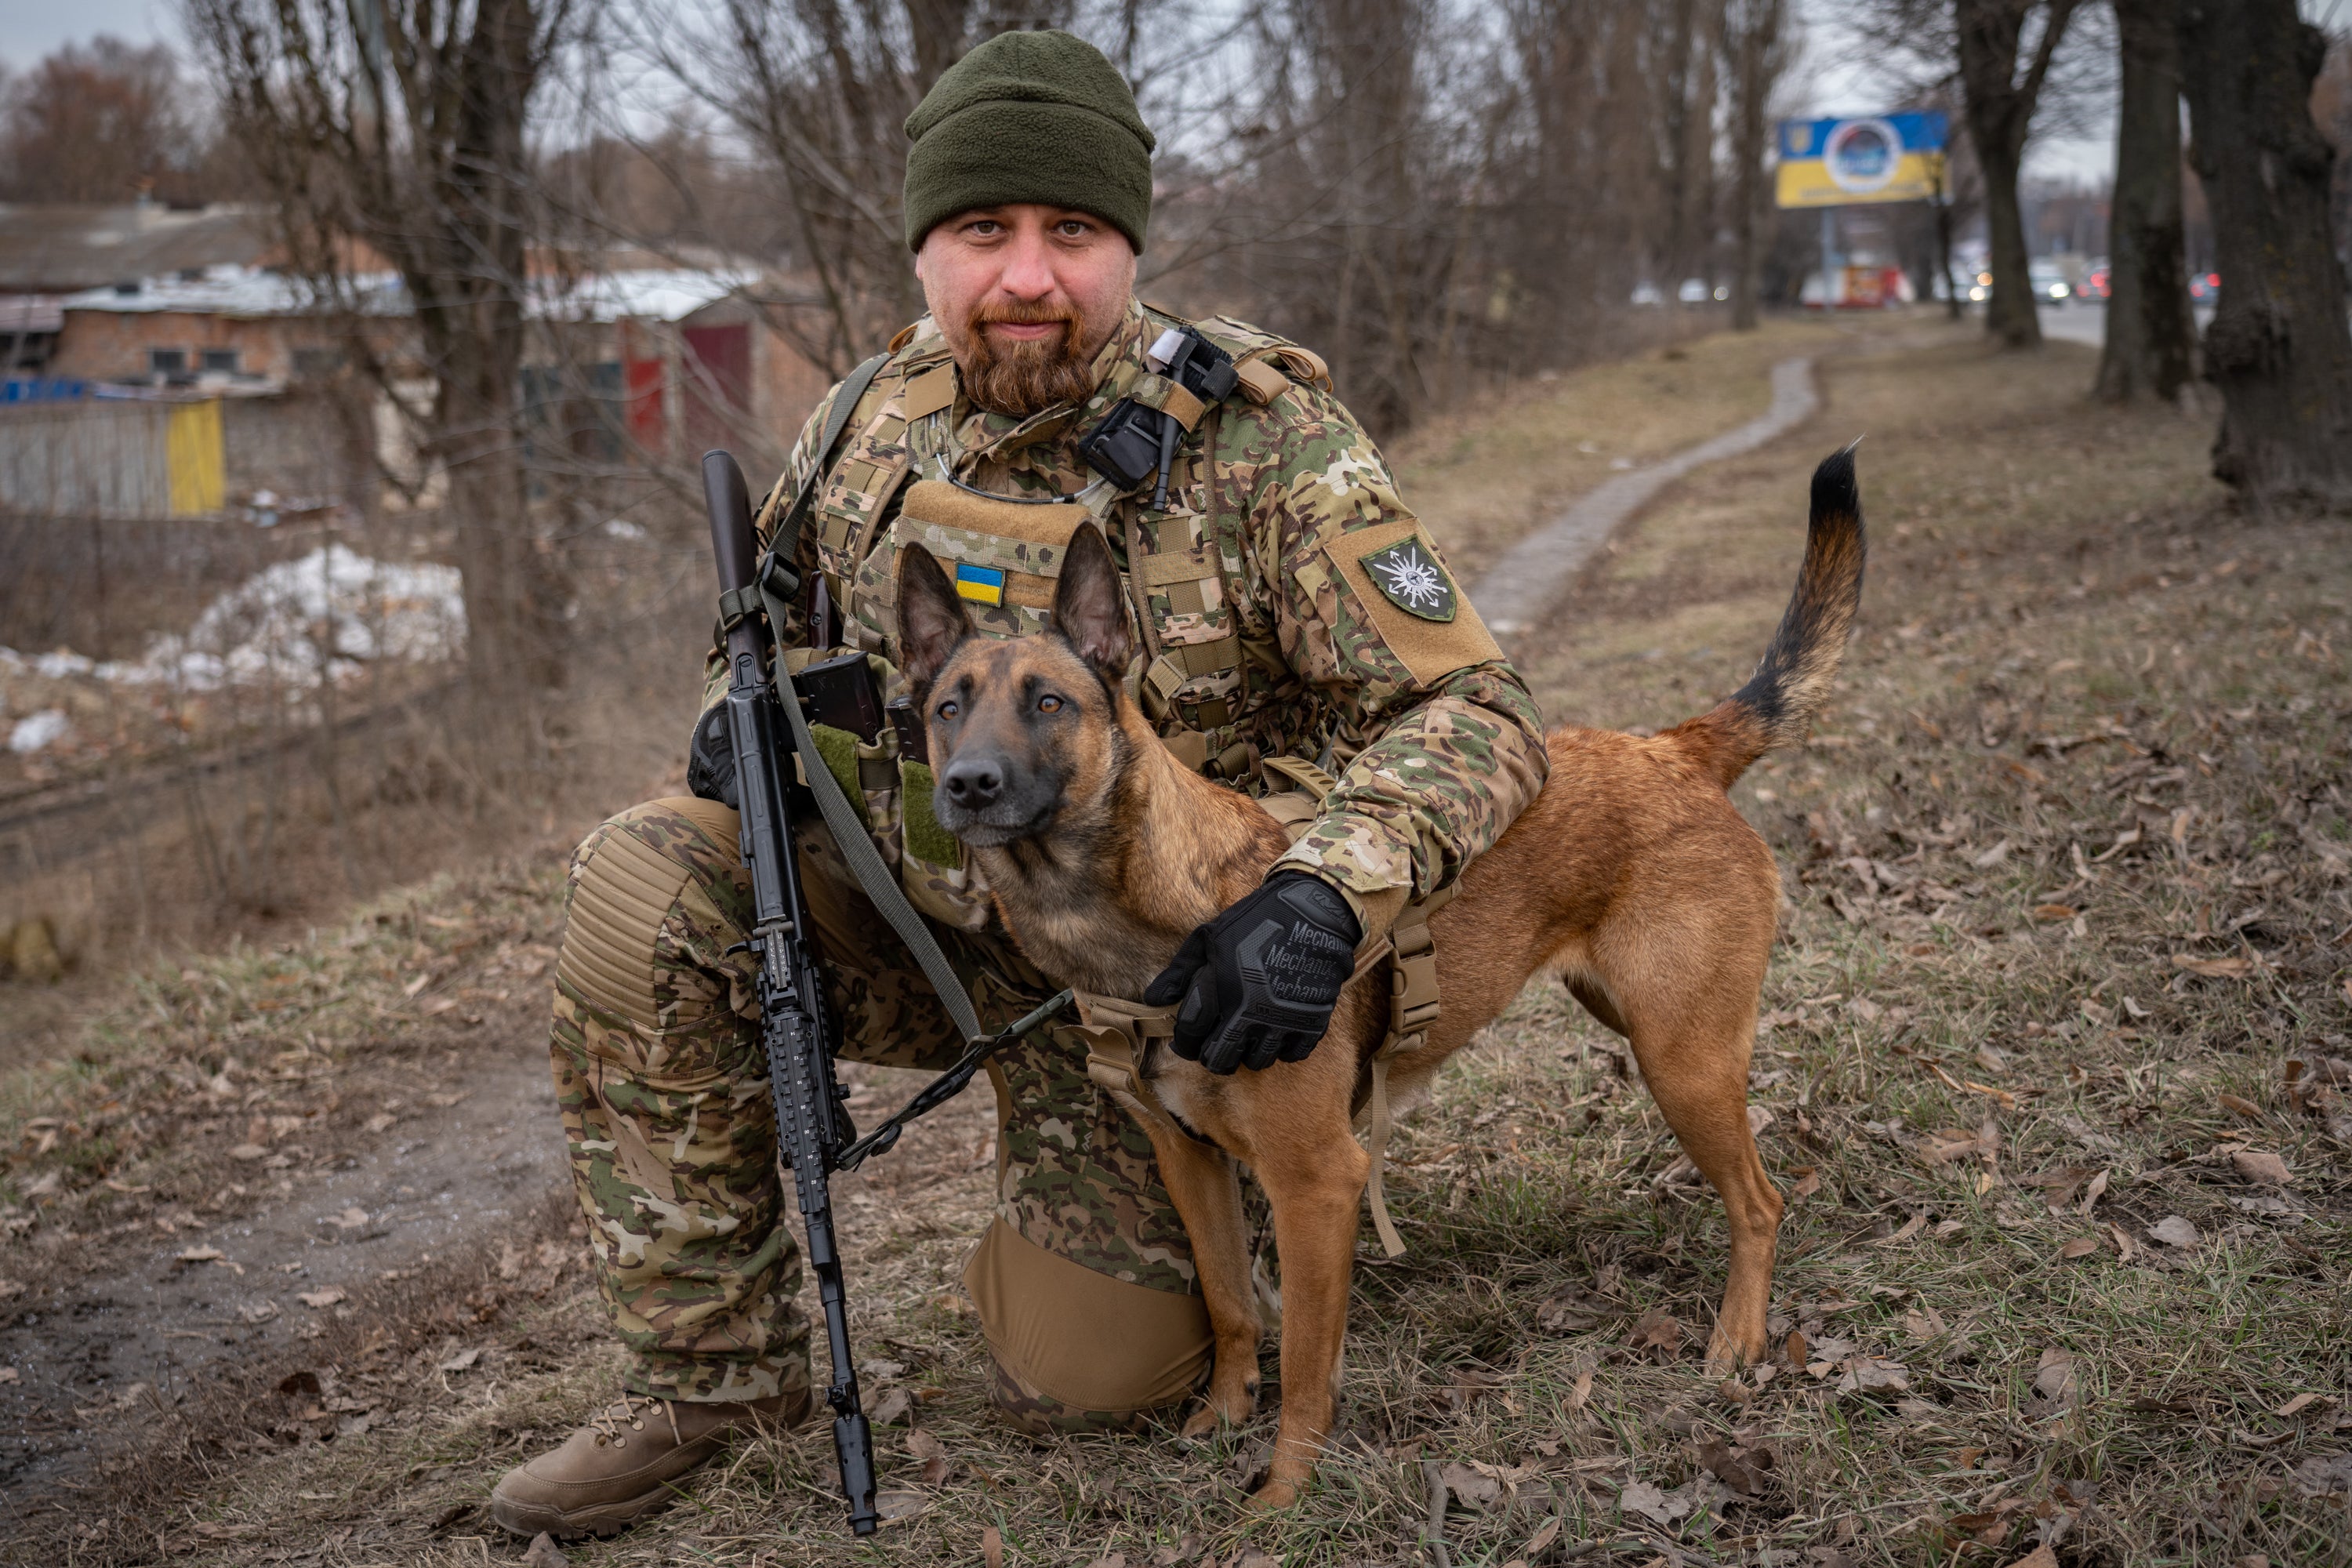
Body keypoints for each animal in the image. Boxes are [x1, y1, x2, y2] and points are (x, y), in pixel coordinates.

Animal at [889, 446, 1863, 1504]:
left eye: (1049, 702)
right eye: (948, 708)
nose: (968, 784)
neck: (1148, 912)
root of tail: (1672, 745)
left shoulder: (1316, 1181)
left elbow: (1309, 1367)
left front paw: (1282, 1496)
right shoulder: (1190, 1160)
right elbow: (1232, 1305)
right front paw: (1221, 1417)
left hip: (1681, 1058)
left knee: (1762, 1202)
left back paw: (1737, 1340)